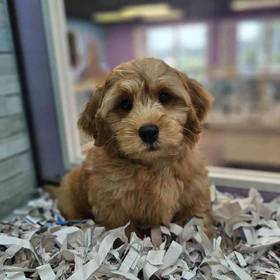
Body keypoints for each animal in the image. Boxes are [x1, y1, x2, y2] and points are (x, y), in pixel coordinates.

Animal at [57, 58, 214, 237]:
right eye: (125, 104)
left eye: (164, 96)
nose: (148, 132)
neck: (152, 166)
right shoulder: (113, 206)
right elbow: (122, 231)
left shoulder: (195, 192)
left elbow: (197, 219)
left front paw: (203, 237)